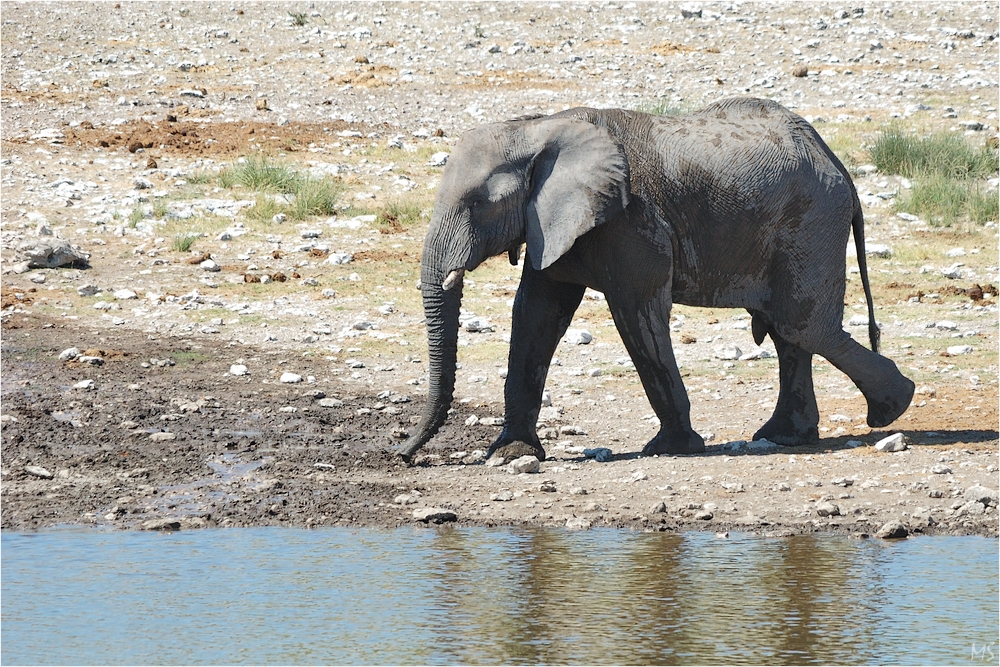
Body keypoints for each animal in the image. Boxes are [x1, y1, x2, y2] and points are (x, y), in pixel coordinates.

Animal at [398, 98, 916, 464]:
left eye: (479, 204)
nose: (402, 455)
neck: (538, 126)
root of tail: (837, 164)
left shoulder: (630, 222)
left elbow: (637, 313)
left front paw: (672, 447)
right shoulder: (555, 222)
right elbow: (536, 315)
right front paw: (510, 455)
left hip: (811, 222)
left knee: (802, 325)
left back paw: (892, 408)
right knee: (789, 331)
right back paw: (787, 435)